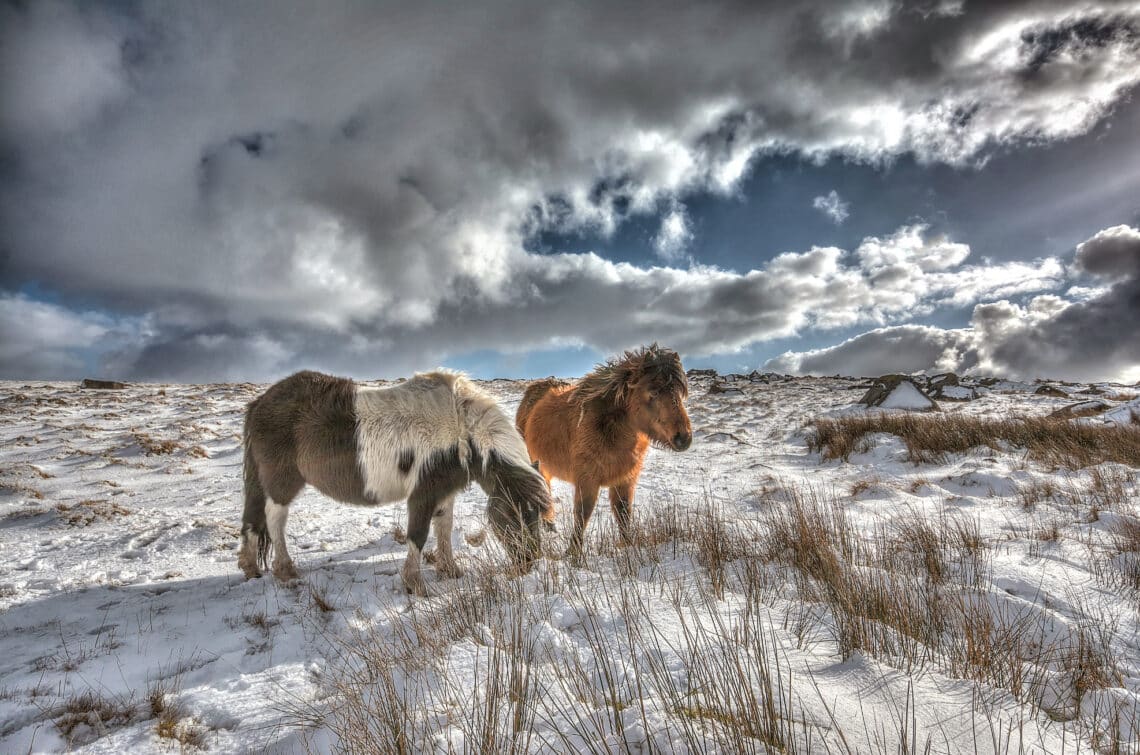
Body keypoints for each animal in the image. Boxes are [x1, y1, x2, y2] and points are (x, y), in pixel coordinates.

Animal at [238, 371, 549, 597]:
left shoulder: (444, 491)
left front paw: (450, 570)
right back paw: (285, 571)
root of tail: (259, 404)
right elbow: (418, 535)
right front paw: (415, 585)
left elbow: (444, 528)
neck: (461, 430)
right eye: (514, 513)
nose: (529, 562)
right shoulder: (423, 493)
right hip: (282, 482)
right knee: (274, 518)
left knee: (253, 520)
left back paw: (251, 568)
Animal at [519, 346, 693, 558]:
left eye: (680, 392)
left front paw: (628, 547)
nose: (683, 438)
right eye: (653, 392)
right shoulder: (587, 480)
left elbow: (623, 514)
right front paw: (573, 553)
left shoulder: (625, 480)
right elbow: (582, 514)